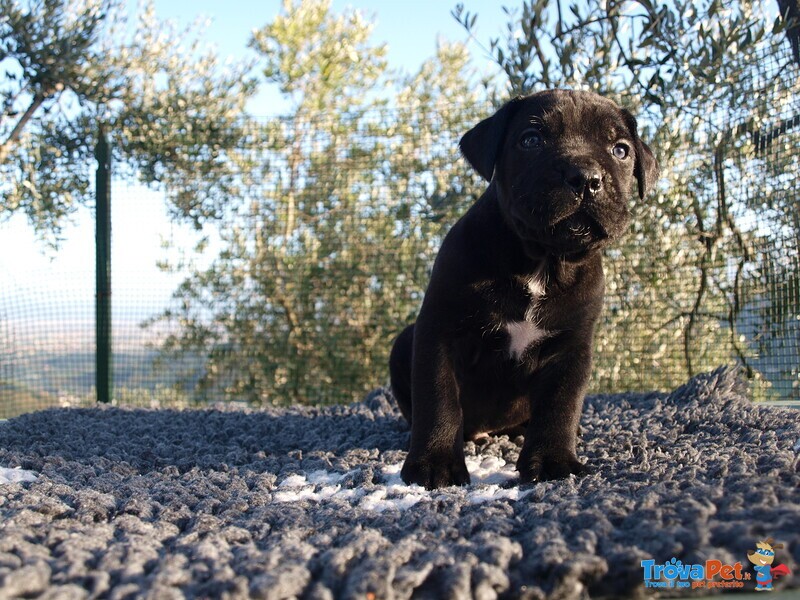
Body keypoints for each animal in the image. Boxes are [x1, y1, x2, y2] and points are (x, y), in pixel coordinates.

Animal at [388, 90, 656, 492]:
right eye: (531, 140)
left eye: (621, 150)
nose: (585, 177)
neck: (541, 262)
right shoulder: (440, 333)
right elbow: (438, 398)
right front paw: (434, 463)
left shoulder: (571, 348)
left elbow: (561, 405)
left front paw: (552, 461)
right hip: (405, 341)